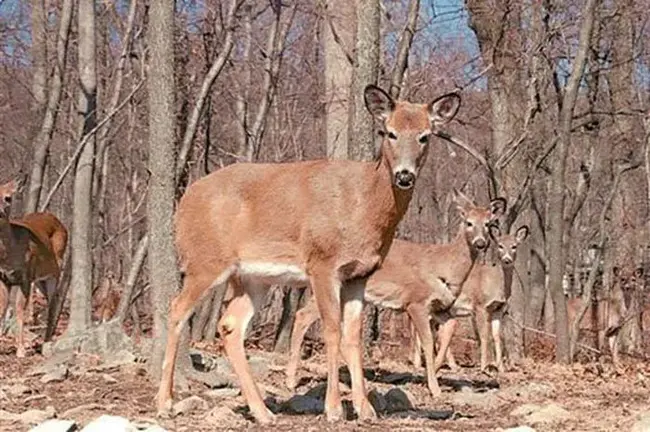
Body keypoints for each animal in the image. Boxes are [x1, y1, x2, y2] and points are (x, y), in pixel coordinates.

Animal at [0, 179, 66, 358]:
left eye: (8, 197)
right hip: (39, 279)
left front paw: (21, 350)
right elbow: (2, 308)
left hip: (54, 270)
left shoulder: (25, 276)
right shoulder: (4, 278)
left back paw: (46, 343)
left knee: (54, 301)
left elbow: (19, 310)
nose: (0, 211)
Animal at [156, 85, 460, 426]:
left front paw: (365, 409)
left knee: (230, 325)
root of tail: (184, 202)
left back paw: (262, 411)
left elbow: (353, 336)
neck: (363, 205)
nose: (404, 176)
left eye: (425, 136)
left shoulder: (359, 275)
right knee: (177, 309)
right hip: (205, 261)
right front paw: (334, 408)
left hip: (252, 278)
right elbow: (332, 330)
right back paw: (165, 403)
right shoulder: (322, 264)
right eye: (389, 132)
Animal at [284, 191, 506, 396]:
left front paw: (437, 370)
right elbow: (428, 341)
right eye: (469, 223)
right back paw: (291, 381)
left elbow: (450, 328)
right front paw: (434, 387)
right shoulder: (415, 302)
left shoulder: (440, 307)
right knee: (303, 315)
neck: (443, 266)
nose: (480, 243)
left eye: (488, 224)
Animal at [426, 224, 532, 372]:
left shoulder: (498, 309)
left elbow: (497, 336)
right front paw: (484, 366)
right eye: (500, 245)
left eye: (514, 246)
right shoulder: (480, 305)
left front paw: (501, 368)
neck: (495, 283)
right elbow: (484, 335)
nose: (506, 260)